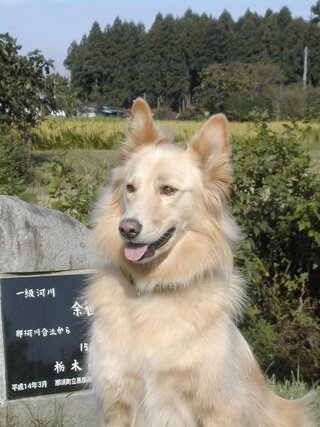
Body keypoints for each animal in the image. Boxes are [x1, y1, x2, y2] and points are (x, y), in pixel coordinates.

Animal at [85, 98, 316, 426]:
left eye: (168, 190)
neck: (153, 289)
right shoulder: (117, 403)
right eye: (130, 188)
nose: (126, 229)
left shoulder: (217, 406)